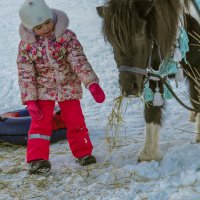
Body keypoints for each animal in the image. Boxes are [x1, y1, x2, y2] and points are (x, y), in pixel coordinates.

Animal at [97, 0, 200, 162]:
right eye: (111, 40)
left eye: (139, 35)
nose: (129, 88)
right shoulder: (153, 71)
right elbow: (151, 110)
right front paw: (149, 153)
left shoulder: (196, 69)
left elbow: (197, 99)